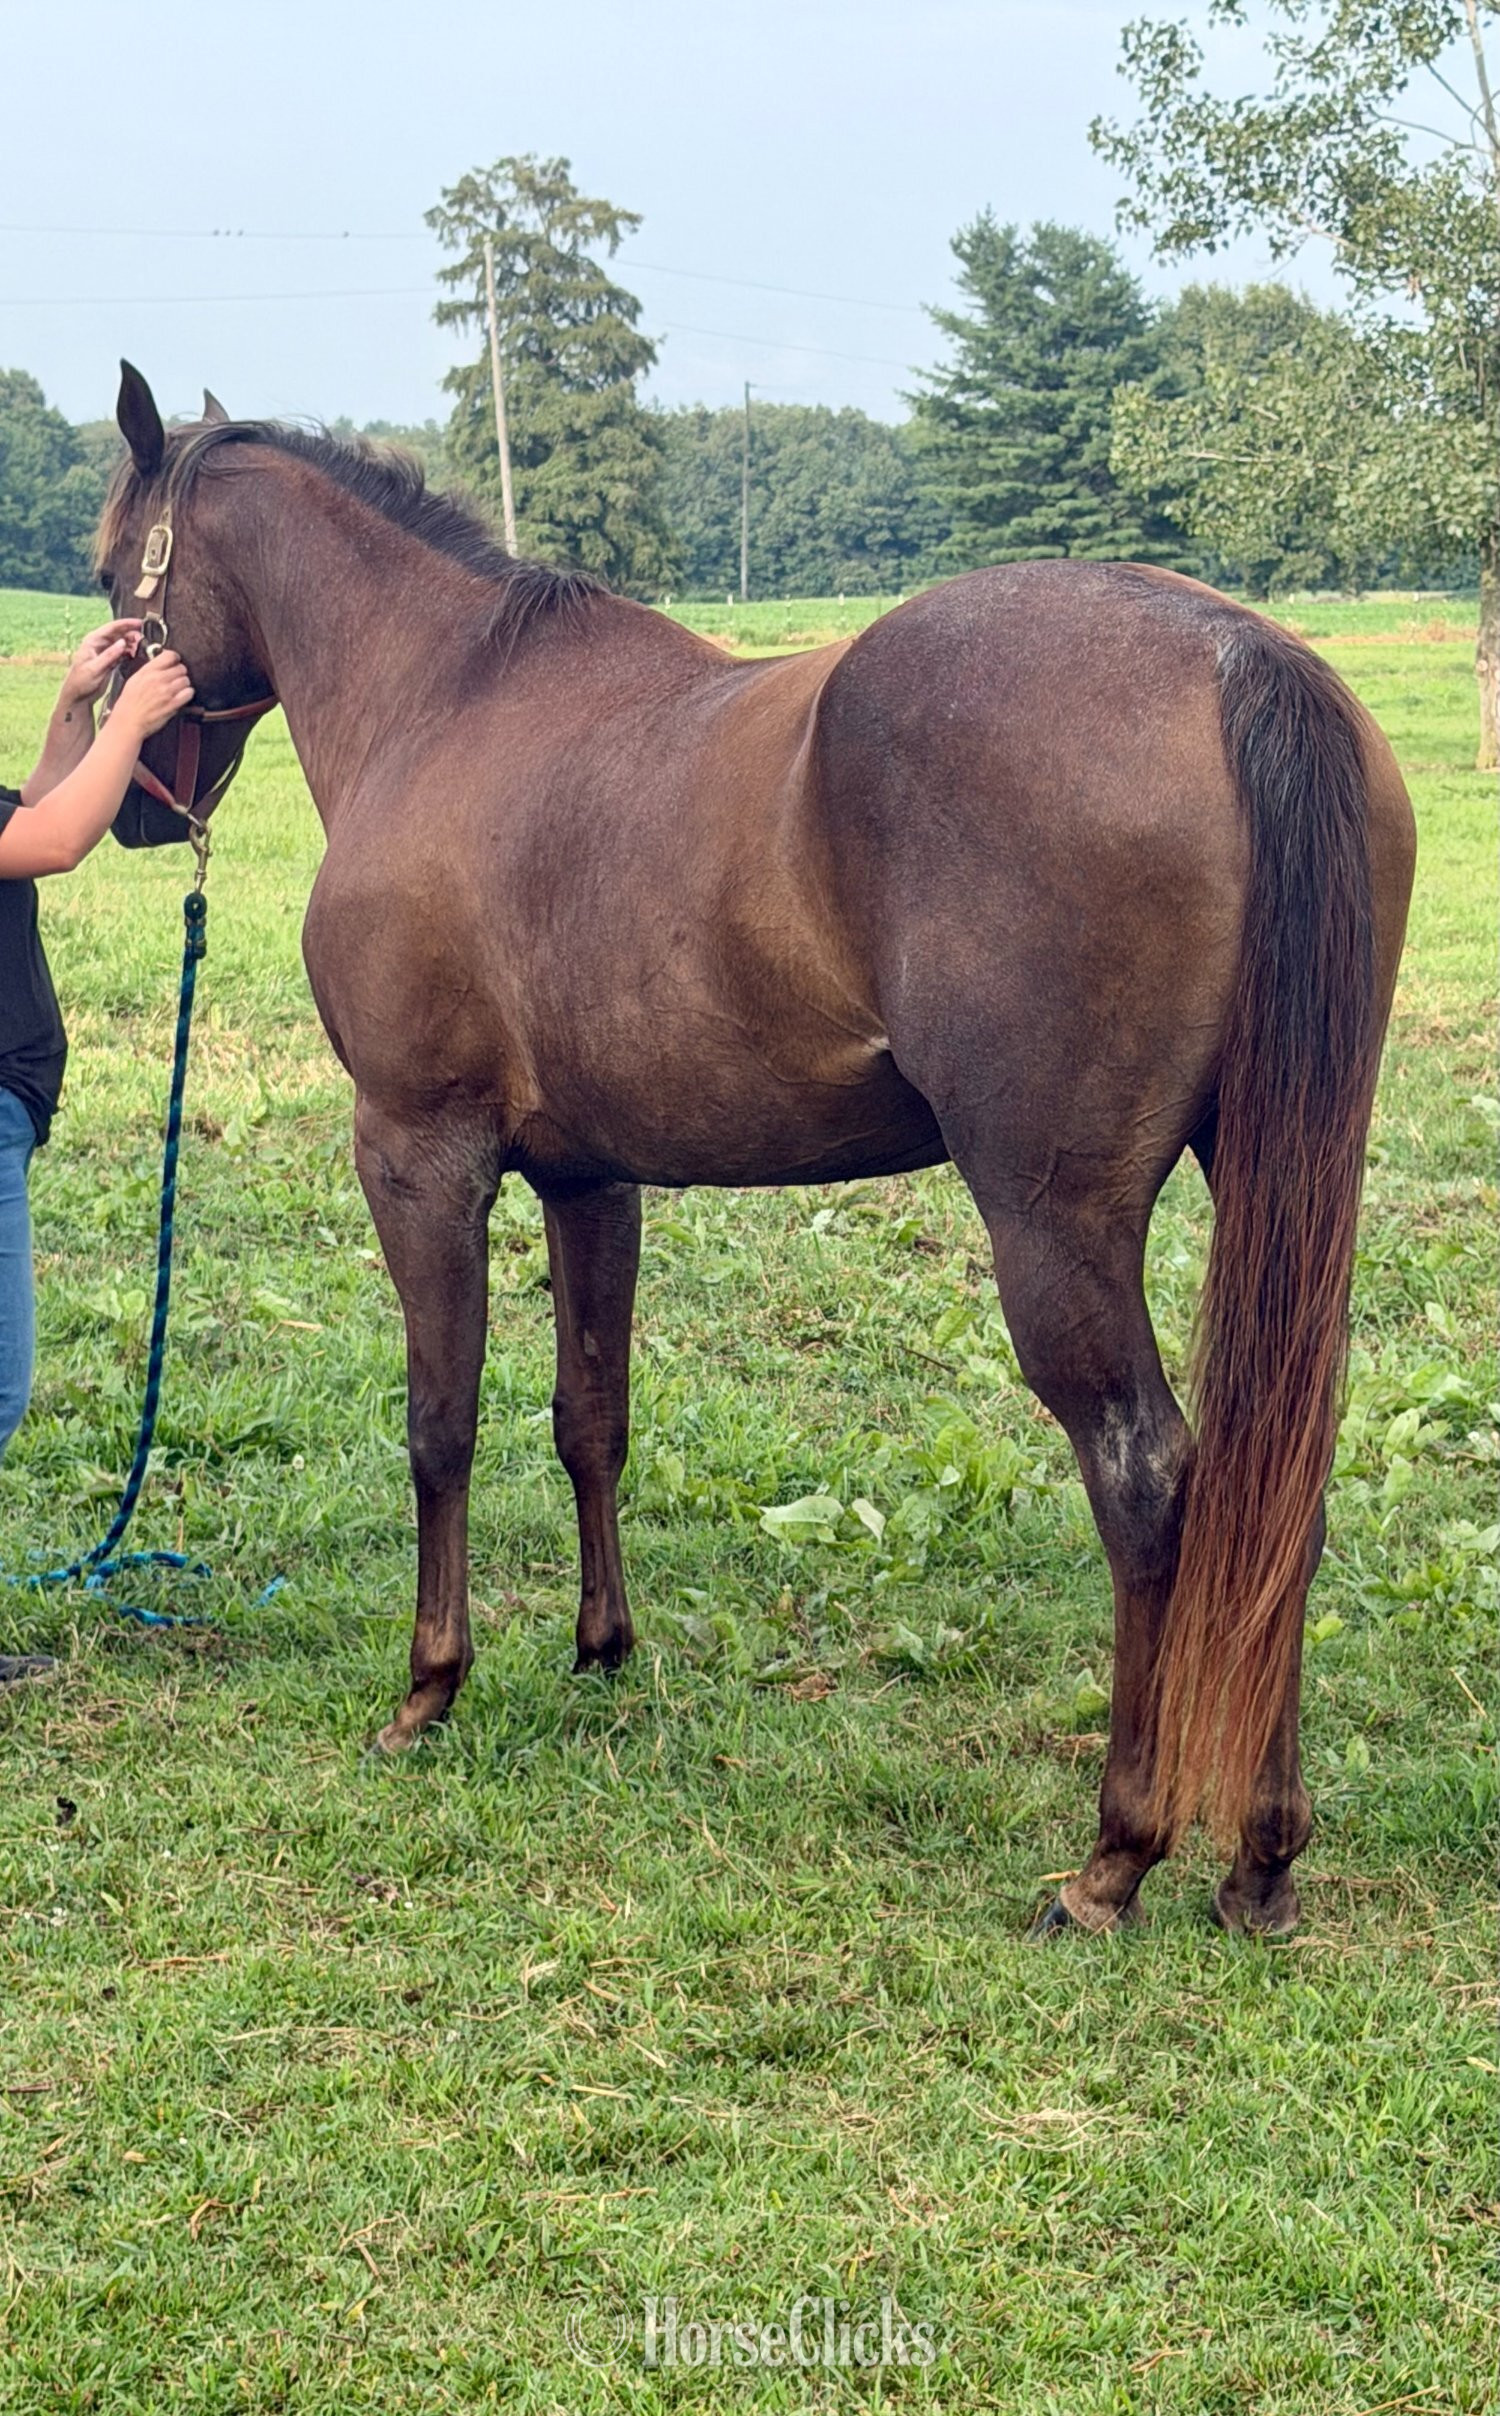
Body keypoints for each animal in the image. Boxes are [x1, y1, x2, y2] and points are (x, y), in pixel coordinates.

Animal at [95, 362, 1415, 1939]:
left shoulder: (419, 1155)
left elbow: (440, 1424)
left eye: (111, 579)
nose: (127, 805)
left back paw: (1118, 1855)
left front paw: (430, 1688)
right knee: (1281, 1489)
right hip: (1283, 1188)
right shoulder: (591, 1177)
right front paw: (601, 1648)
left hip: (1058, 1227)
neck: (446, 701)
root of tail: (1229, 652)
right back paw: (1262, 1856)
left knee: (1152, 1484)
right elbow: (589, 1417)